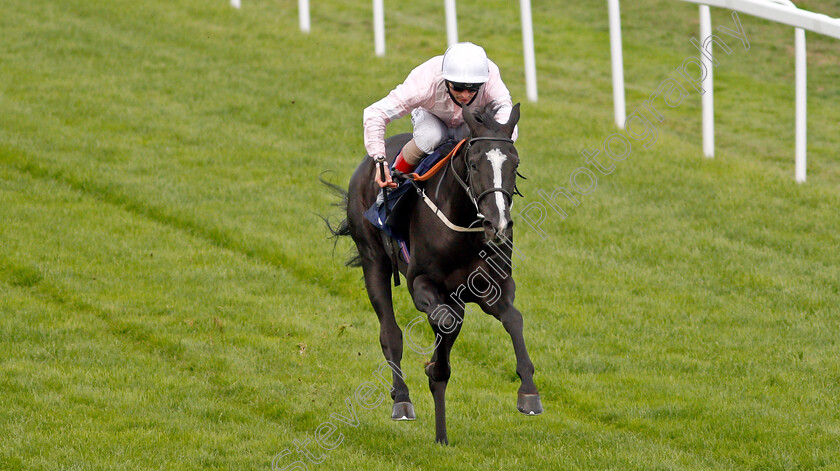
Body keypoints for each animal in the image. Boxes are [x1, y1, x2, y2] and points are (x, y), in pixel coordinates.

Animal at [332, 103, 540, 446]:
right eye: (473, 163)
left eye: (515, 163)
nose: (497, 224)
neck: (463, 227)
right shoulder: (421, 284)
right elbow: (443, 322)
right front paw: (434, 369)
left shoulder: (491, 287)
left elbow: (513, 319)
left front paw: (529, 393)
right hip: (373, 259)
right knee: (390, 334)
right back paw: (402, 400)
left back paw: (440, 433)